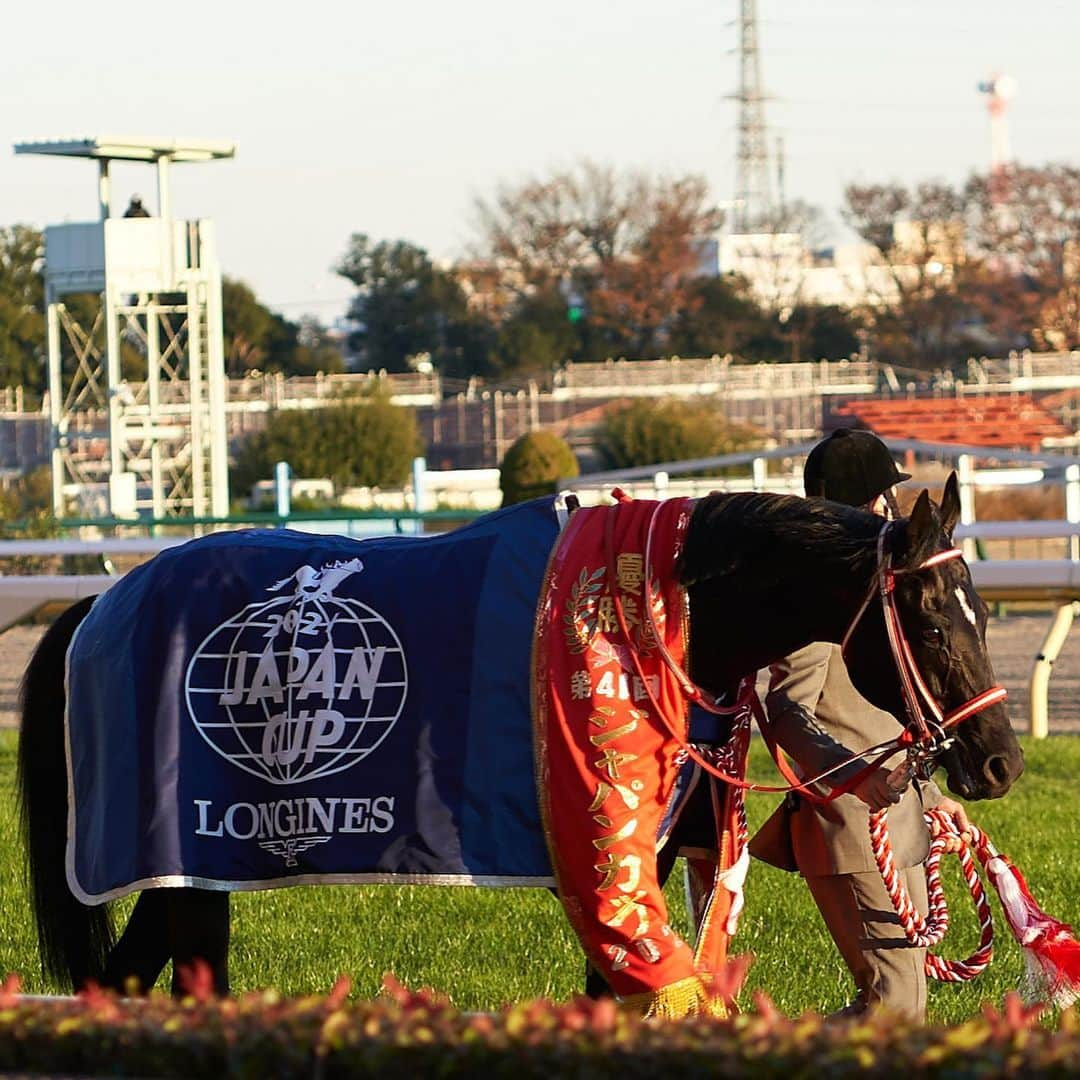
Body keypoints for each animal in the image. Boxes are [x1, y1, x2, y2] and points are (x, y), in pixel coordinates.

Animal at [19, 477, 1019, 997]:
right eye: (934, 623)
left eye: (979, 607)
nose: (999, 761)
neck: (657, 608)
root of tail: (100, 604)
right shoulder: (607, 849)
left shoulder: (662, 853)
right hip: (180, 856)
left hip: (197, 870)